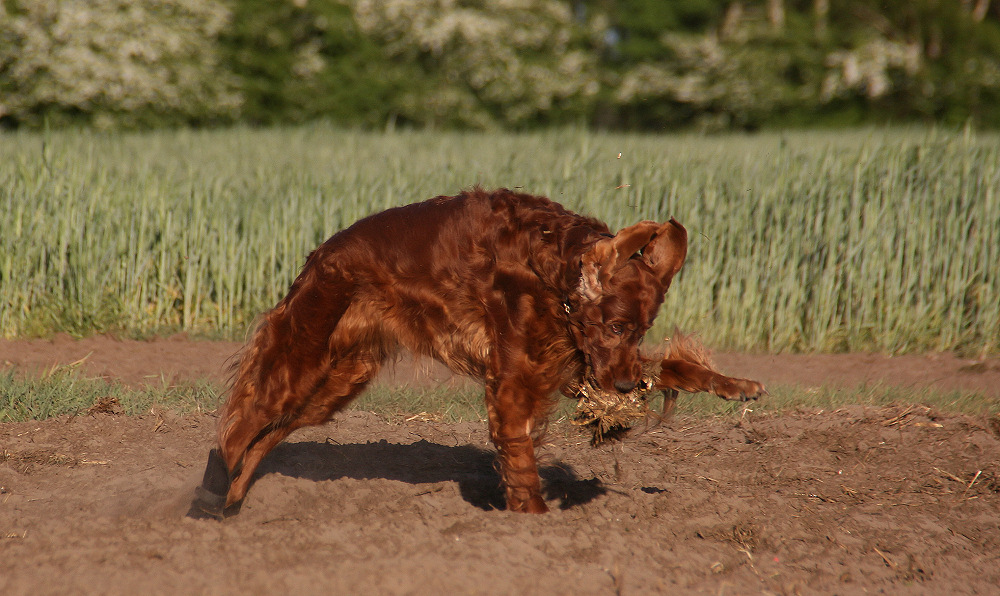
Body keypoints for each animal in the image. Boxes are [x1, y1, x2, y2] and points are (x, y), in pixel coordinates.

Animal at [189, 187, 764, 516]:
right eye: (616, 324)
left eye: (642, 330)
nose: (622, 387)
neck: (549, 269)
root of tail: (318, 257)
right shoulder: (516, 380)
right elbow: (521, 459)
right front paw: (533, 526)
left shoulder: (571, 362)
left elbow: (671, 367)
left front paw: (737, 385)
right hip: (302, 359)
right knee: (238, 428)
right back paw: (208, 502)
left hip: (337, 381)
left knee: (262, 437)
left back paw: (230, 505)